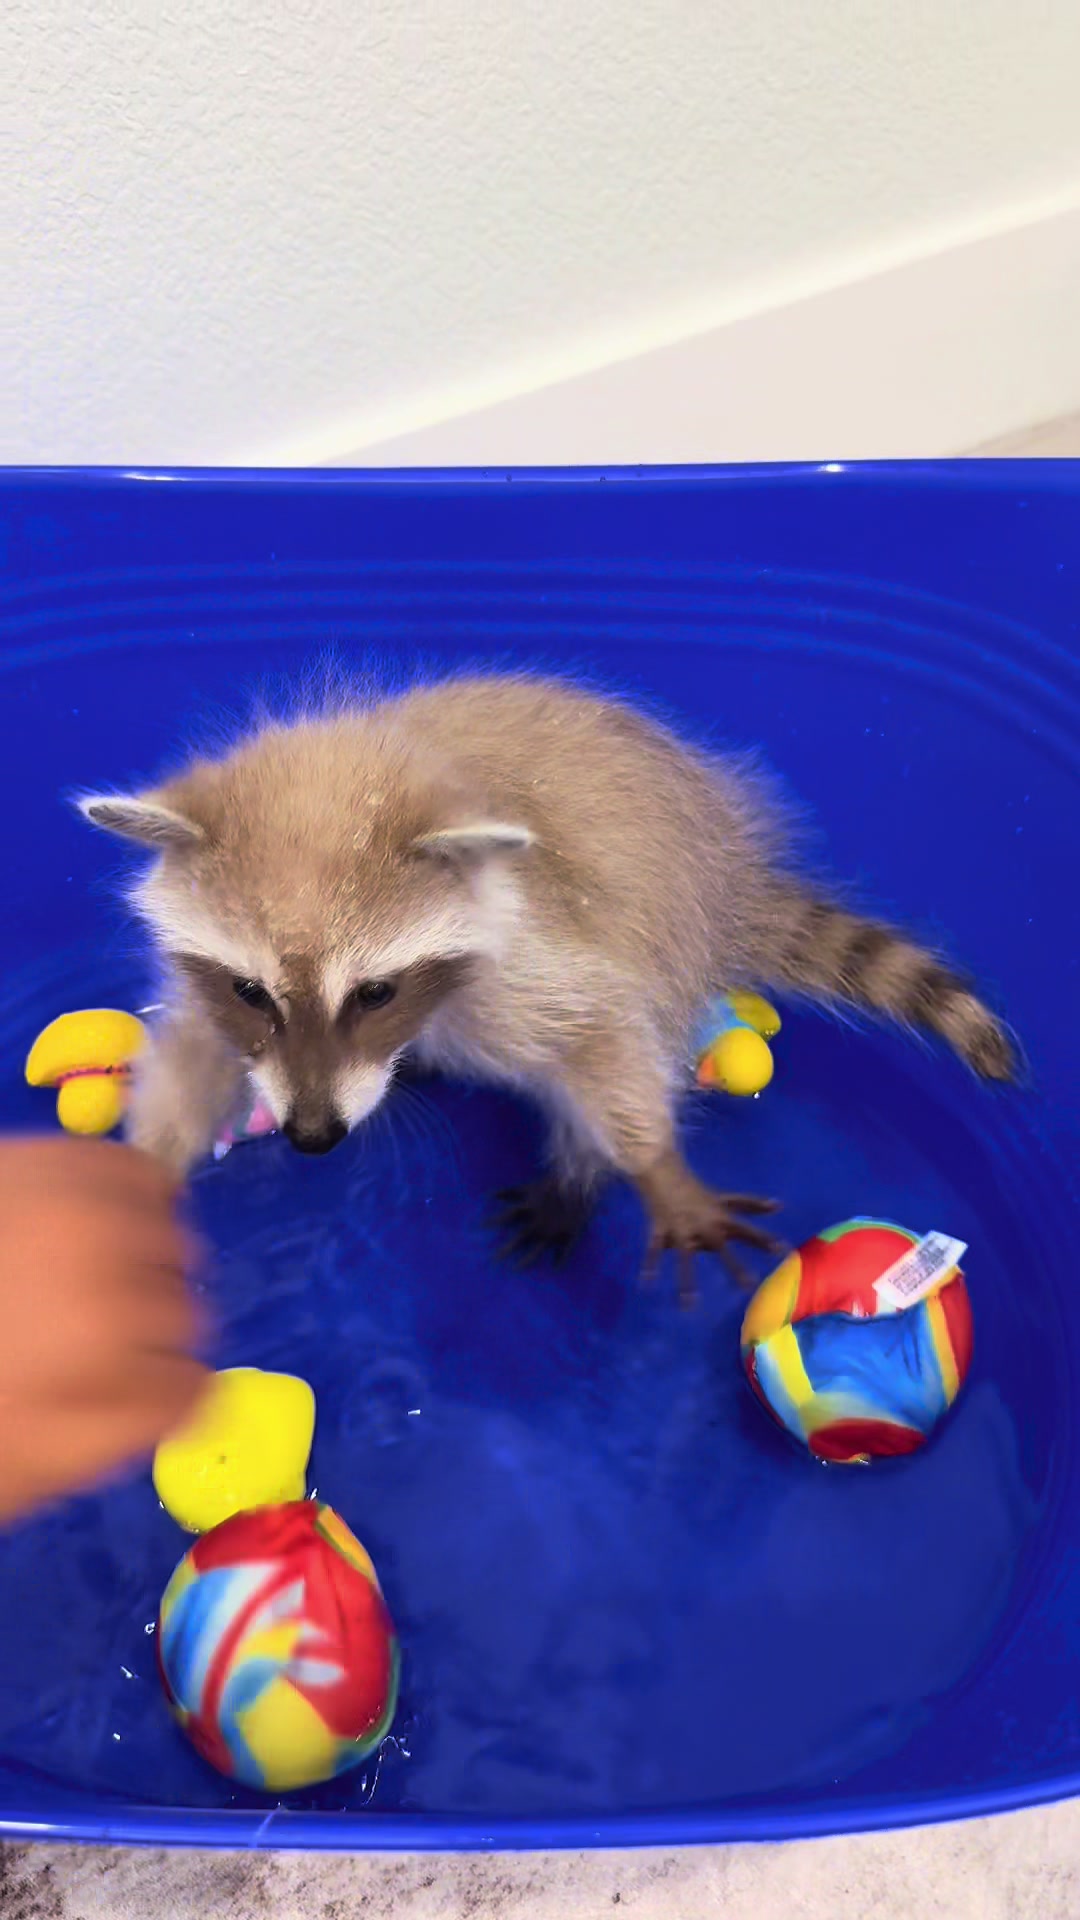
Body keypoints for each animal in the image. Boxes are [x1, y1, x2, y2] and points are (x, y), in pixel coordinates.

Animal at [79, 673, 1015, 1299]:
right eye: (250, 991)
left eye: (375, 994)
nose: (313, 1138)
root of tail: (732, 880)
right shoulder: (213, 996)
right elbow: (194, 1054)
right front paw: (147, 1169)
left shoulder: (537, 951)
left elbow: (607, 1035)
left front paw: (652, 1167)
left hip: (672, 937)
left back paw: (578, 1171)